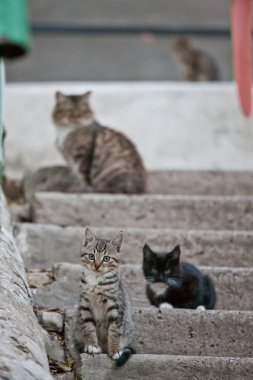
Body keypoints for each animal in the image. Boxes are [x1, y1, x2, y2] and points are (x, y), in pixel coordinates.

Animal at [76, 227, 134, 366]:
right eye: (91, 256)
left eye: (106, 258)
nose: (97, 265)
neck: (96, 282)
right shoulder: (85, 305)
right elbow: (88, 326)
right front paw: (92, 345)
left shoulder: (116, 306)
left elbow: (114, 330)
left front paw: (115, 350)